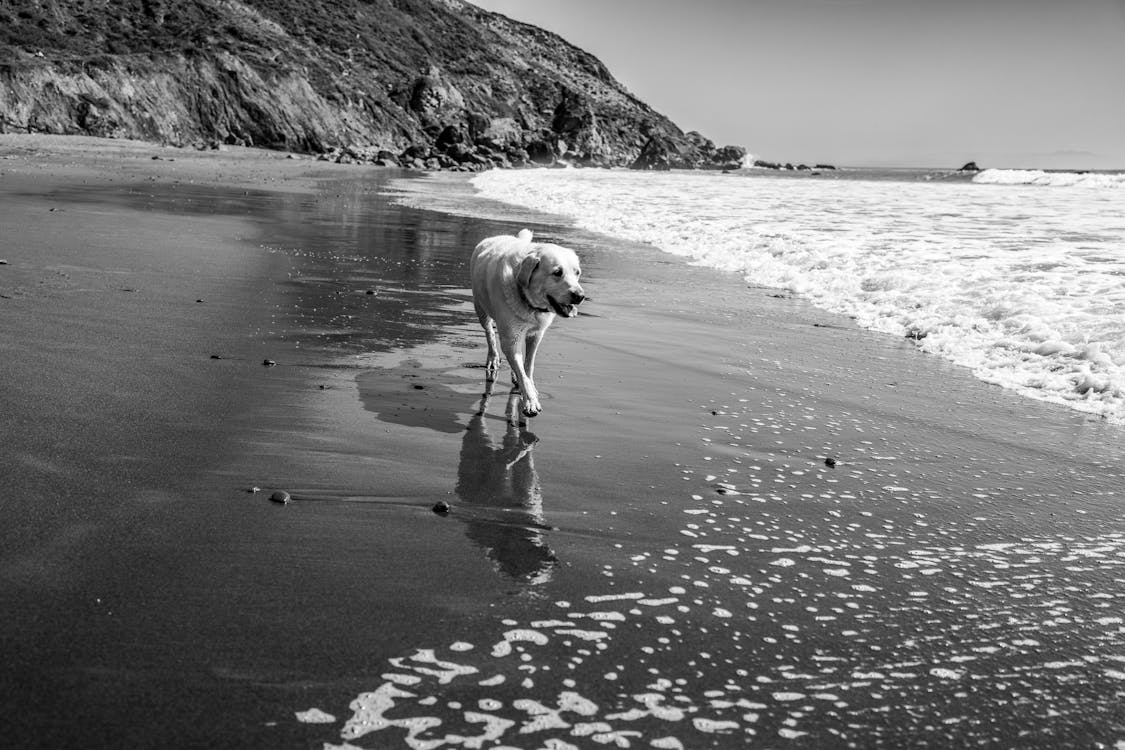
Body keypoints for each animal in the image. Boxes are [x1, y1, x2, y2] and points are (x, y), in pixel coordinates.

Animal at [468, 229, 585, 416]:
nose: (580, 296)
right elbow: (522, 371)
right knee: (489, 333)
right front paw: (530, 401)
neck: (530, 303)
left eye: (577, 273)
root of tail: (496, 237)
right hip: (480, 307)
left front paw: (530, 388)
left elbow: (528, 366)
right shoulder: (510, 339)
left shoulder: (536, 335)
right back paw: (493, 358)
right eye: (557, 272)